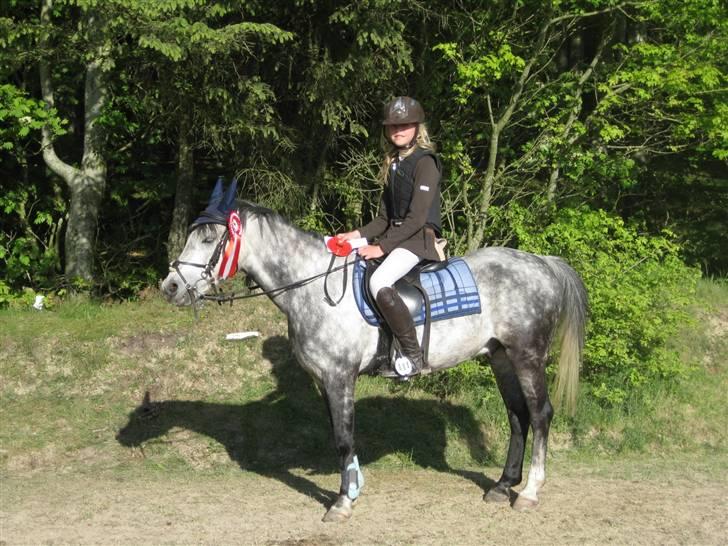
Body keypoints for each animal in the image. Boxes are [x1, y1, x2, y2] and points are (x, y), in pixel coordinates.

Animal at [160, 198, 588, 522]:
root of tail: (541, 262)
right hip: (500, 356)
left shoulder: (339, 376)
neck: (312, 286)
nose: (170, 287)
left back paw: (529, 491)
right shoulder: (326, 381)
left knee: (539, 413)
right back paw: (501, 486)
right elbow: (341, 437)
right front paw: (351, 489)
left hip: (527, 354)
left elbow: (343, 438)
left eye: (208, 238)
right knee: (517, 416)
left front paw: (342, 502)